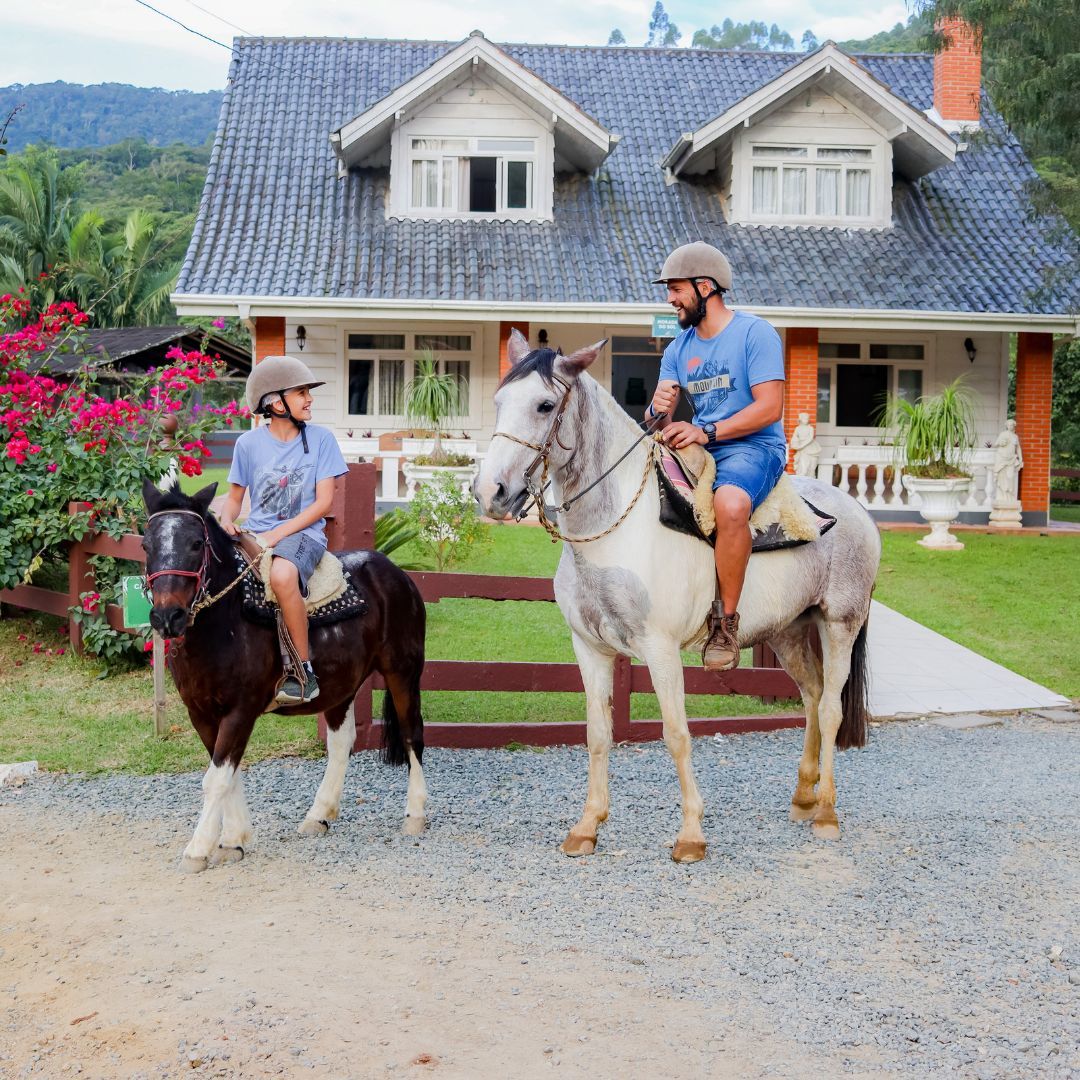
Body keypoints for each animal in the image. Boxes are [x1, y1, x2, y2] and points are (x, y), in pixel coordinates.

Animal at [142, 481, 425, 868]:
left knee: (412, 735)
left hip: (403, 670)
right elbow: (227, 773)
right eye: (146, 544)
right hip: (341, 685)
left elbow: (217, 779)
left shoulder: (241, 710)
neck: (226, 621)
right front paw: (233, 839)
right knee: (341, 743)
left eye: (196, 543)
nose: (167, 616)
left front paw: (199, 849)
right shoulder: (200, 713)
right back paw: (319, 815)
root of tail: (394, 572)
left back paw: (415, 815)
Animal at [477, 332, 881, 864]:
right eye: (499, 401)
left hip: (840, 623)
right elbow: (598, 734)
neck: (614, 529)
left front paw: (691, 834)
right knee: (812, 697)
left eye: (545, 405)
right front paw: (587, 827)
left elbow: (676, 734)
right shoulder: (590, 647)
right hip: (789, 631)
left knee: (832, 708)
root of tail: (857, 512)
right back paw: (802, 797)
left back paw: (827, 813)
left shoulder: (660, 649)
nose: (491, 492)